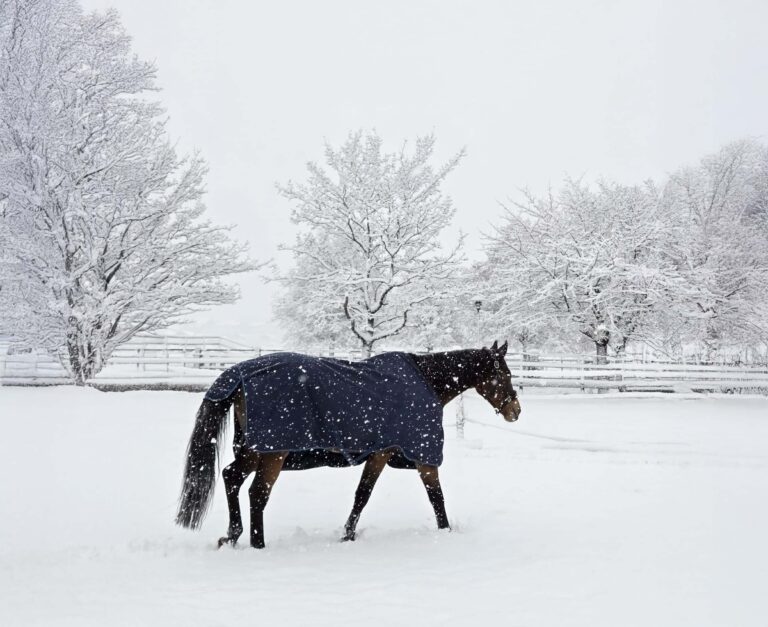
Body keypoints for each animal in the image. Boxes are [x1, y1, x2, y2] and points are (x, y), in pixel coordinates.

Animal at [175, 340, 521, 548]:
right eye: (504, 374)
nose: (515, 411)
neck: (426, 382)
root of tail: (240, 374)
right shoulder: (408, 456)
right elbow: (428, 496)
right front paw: (445, 532)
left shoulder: (391, 456)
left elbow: (366, 496)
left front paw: (348, 535)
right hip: (272, 453)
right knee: (257, 493)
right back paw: (257, 544)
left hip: (252, 451)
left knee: (231, 477)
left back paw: (232, 536)